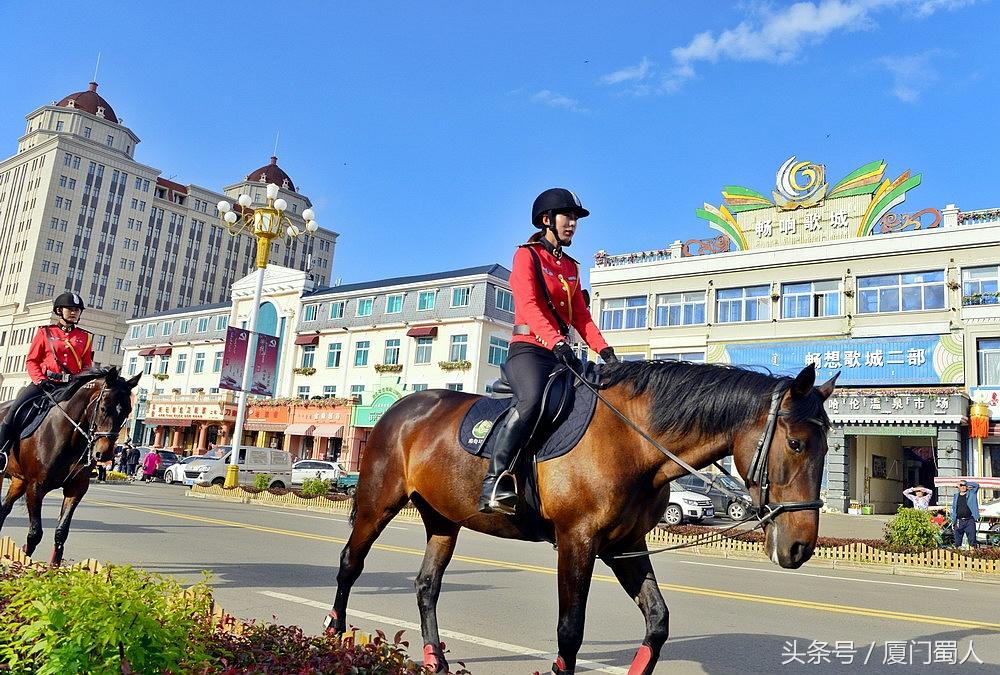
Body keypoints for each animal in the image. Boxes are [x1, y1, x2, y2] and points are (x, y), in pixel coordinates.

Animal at [0, 368, 139, 568]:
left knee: (4, 508)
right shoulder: (35, 487)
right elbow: (35, 534)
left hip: (19, 480)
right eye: (104, 408)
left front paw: (53, 568)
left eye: (127, 411)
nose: (104, 454)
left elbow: (61, 532)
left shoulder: (76, 488)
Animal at [328, 364, 836, 675]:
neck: (634, 443)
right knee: (350, 563)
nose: (800, 547)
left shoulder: (624, 545)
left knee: (427, 585)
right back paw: (335, 635)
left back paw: (435, 658)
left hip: (443, 519)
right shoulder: (578, 541)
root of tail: (400, 409)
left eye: (829, 447)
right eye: (795, 444)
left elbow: (658, 621)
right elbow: (570, 631)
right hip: (377, 502)